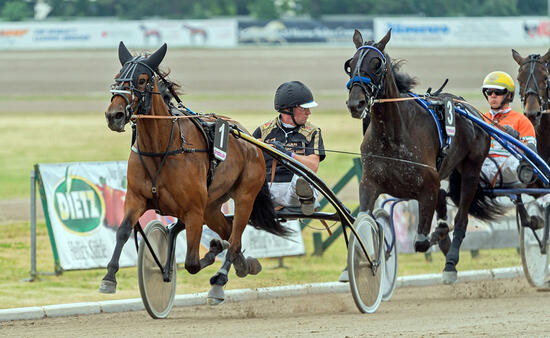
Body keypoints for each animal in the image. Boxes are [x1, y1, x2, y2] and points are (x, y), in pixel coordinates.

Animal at [99, 41, 292, 296]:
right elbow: (122, 231)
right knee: (228, 230)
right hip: (212, 204)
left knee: (235, 237)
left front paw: (212, 252)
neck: (161, 149)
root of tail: (248, 137)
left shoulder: (193, 212)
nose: (115, 115)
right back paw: (244, 264)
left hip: (244, 196)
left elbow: (191, 262)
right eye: (117, 77)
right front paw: (109, 277)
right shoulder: (136, 198)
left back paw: (221, 278)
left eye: (141, 80)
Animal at [348, 29, 506, 284]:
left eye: (376, 64)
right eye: (350, 64)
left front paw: (439, 237)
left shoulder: (426, 188)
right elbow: (362, 221)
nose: (356, 103)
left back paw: (450, 262)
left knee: (461, 218)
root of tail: (470, 109)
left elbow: (421, 242)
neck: (391, 134)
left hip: (471, 170)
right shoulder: (369, 184)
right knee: (443, 197)